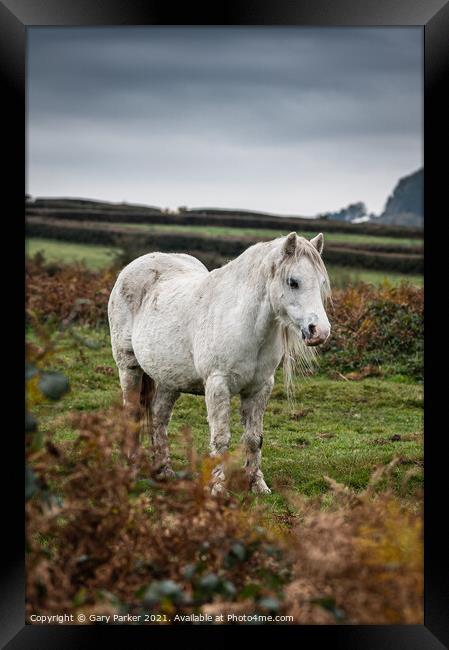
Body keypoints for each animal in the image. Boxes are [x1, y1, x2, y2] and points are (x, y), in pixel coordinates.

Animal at [108, 232, 328, 492]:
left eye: (322, 283)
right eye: (293, 282)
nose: (320, 331)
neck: (244, 321)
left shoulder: (260, 388)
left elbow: (254, 438)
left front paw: (257, 484)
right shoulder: (217, 384)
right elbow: (221, 439)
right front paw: (217, 487)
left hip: (170, 378)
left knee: (159, 416)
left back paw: (164, 471)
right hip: (129, 367)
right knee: (132, 414)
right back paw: (131, 468)